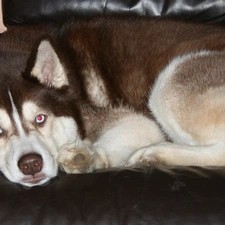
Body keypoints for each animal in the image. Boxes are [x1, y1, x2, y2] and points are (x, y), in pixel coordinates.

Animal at [0, 17, 225, 186]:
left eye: (40, 118)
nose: (31, 164)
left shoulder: (142, 121)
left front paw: (88, 155)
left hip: (168, 82)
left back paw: (158, 152)